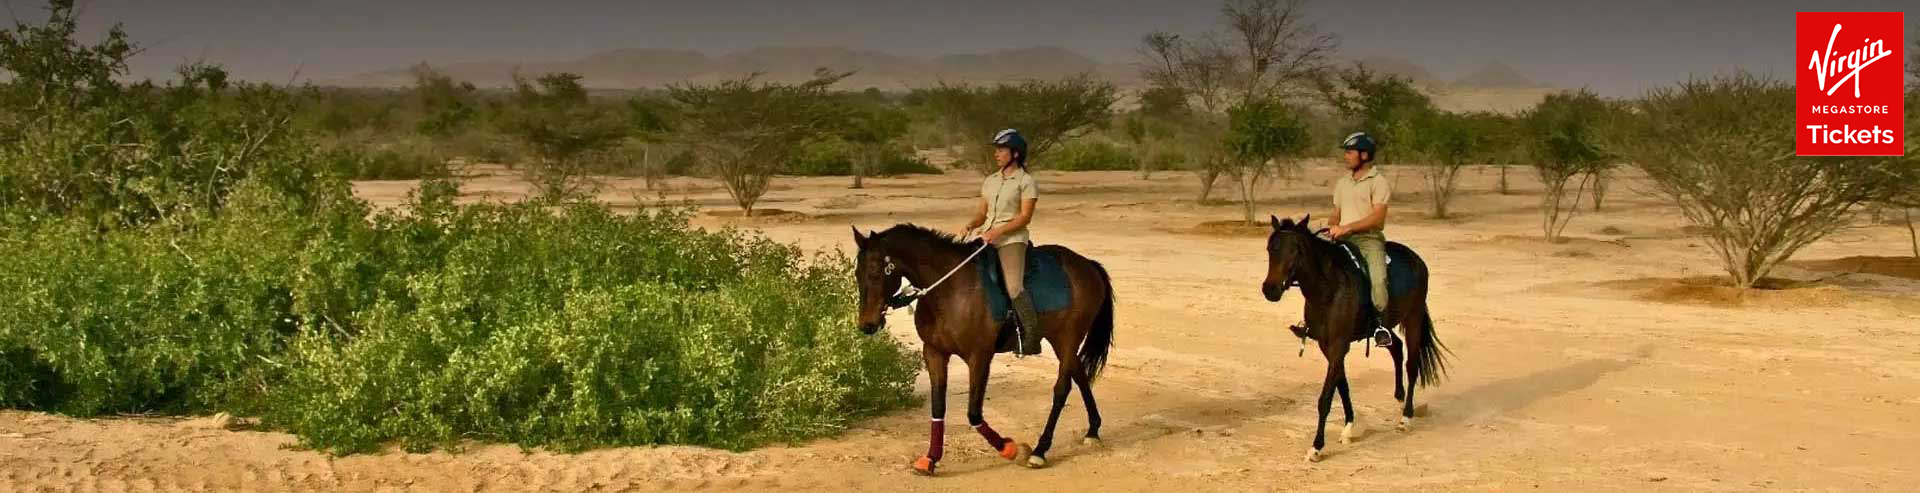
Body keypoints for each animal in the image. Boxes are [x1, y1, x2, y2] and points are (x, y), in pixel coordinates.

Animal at [852, 224, 1115, 475]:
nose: (867, 324)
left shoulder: (979, 357)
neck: (950, 290)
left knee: (1062, 388)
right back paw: (1092, 430)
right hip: (1059, 340)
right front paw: (930, 459)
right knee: (1080, 376)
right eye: (857, 273)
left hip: (1069, 337)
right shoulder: (934, 353)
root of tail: (1088, 265)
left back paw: (1040, 450)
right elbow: (938, 408)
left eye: (875, 273)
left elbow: (974, 413)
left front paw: (1012, 449)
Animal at [1259, 215, 1448, 462]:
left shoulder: (1339, 345)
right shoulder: (1328, 346)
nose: (1270, 290)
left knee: (1412, 364)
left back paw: (1406, 418)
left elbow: (1326, 397)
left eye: (1296, 250)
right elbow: (1342, 386)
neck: (1329, 289)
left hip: (1414, 319)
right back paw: (1399, 398)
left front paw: (1316, 447)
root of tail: (1416, 259)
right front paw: (1349, 427)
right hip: (1385, 326)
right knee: (1396, 347)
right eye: (1270, 248)